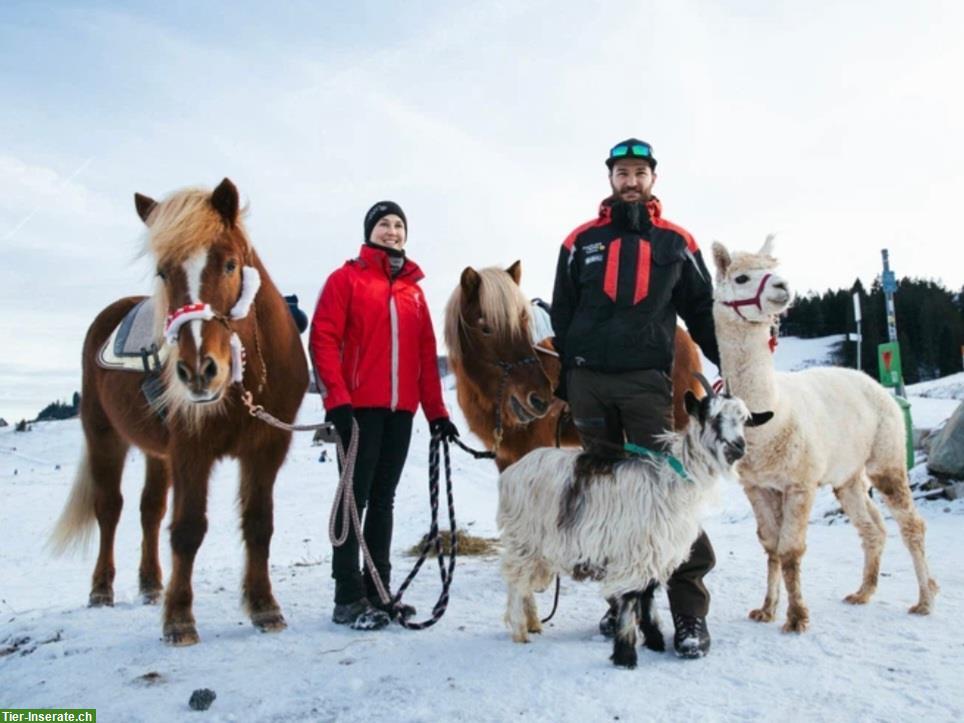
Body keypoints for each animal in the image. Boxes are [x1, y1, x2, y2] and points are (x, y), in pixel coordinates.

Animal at [50, 178, 306, 648]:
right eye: (163, 272)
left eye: (229, 265)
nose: (199, 370)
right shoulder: (192, 451)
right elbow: (188, 529)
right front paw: (179, 619)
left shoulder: (266, 450)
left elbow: (259, 523)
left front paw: (264, 607)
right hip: (104, 437)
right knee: (109, 508)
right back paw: (102, 589)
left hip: (157, 454)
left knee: (149, 509)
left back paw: (151, 584)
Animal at [498, 388, 768, 672]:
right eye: (713, 417)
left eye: (744, 420)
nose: (738, 447)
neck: (672, 480)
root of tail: (511, 472)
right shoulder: (634, 551)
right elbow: (630, 599)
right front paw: (626, 655)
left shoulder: (654, 551)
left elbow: (647, 597)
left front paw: (654, 641)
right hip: (524, 538)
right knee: (515, 582)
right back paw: (519, 631)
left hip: (537, 546)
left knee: (524, 583)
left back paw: (532, 623)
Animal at [712, 239, 936, 632]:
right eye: (741, 277)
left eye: (774, 269)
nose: (782, 287)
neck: (768, 419)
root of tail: (870, 382)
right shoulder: (758, 486)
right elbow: (770, 545)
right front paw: (766, 609)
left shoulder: (799, 482)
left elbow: (790, 549)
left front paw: (796, 618)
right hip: (847, 476)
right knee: (873, 527)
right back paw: (863, 592)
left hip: (887, 456)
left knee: (912, 524)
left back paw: (924, 600)